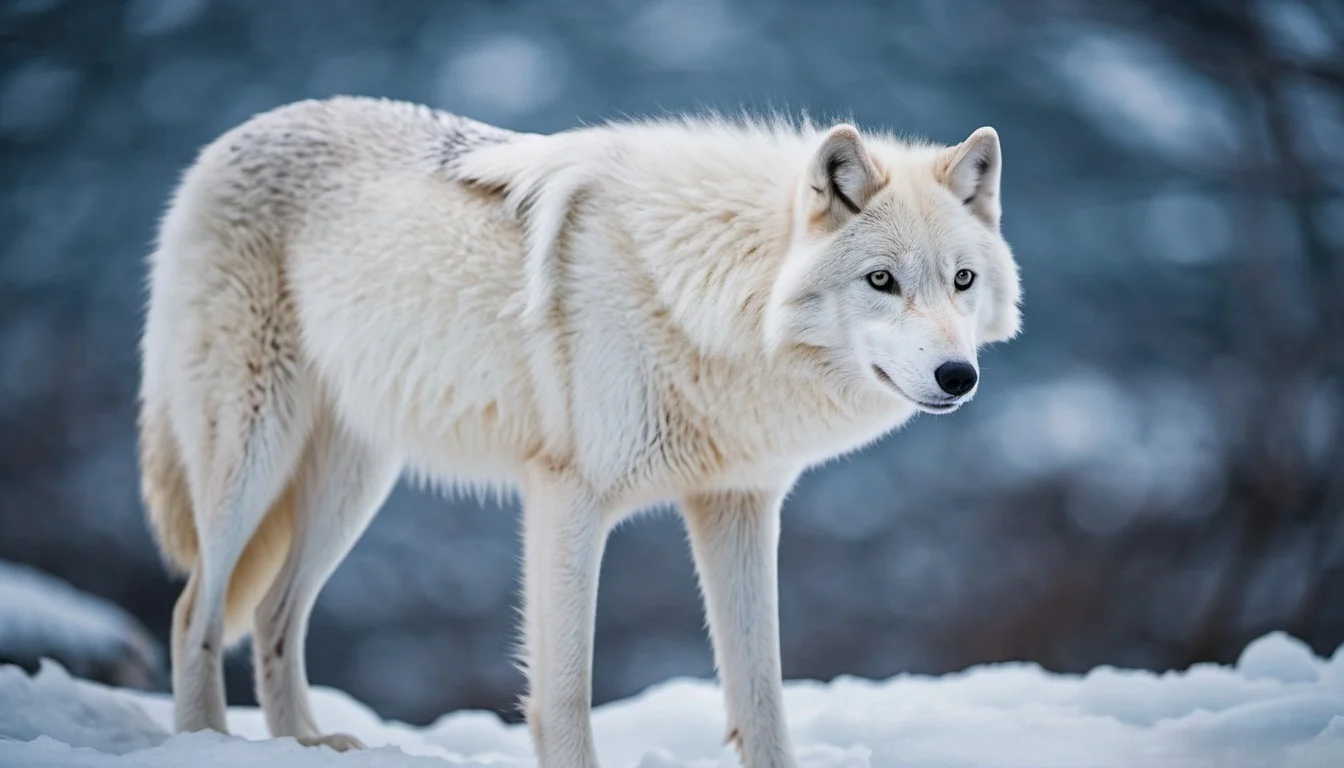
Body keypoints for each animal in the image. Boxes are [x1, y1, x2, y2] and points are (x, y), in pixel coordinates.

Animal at [137, 95, 1021, 767]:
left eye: (961, 280)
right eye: (882, 280)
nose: (959, 376)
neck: (708, 296)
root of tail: (223, 142)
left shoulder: (738, 504)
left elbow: (760, 693)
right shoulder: (568, 497)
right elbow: (564, 691)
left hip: (354, 483)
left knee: (273, 614)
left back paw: (306, 746)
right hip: (252, 454)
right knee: (194, 613)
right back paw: (207, 743)